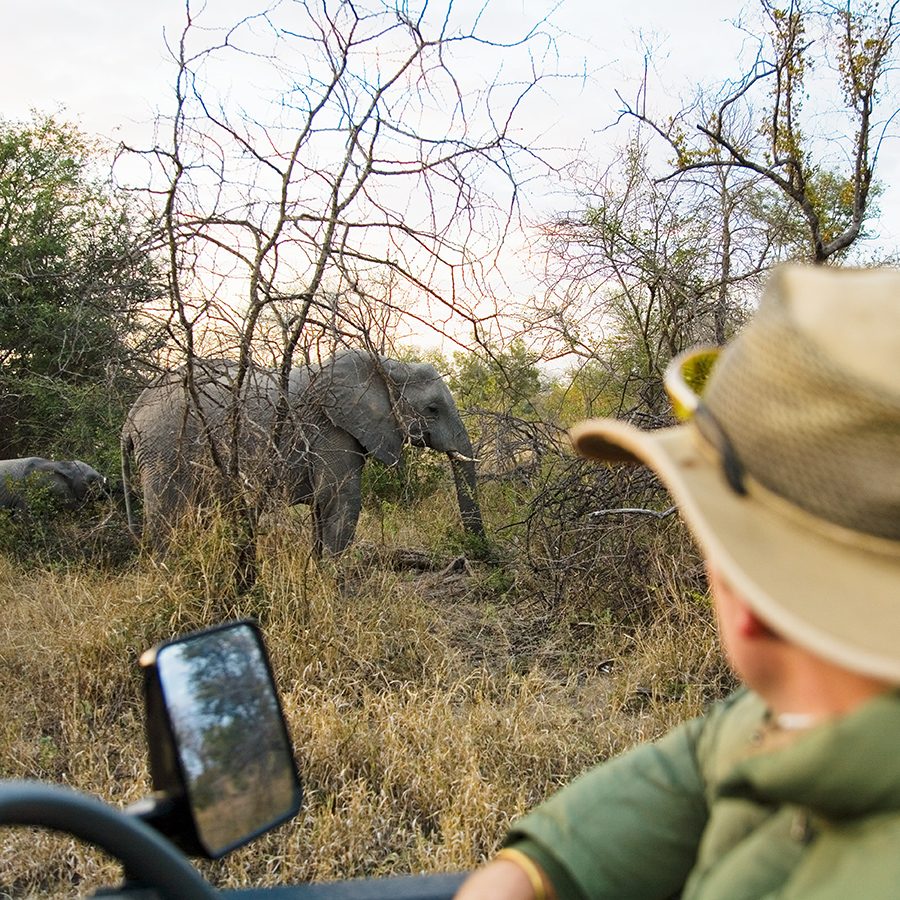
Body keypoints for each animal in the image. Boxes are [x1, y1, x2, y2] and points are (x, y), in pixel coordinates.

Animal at [121, 350, 486, 556]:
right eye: (433, 409)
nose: (476, 555)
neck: (386, 364)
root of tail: (131, 416)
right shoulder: (330, 426)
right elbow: (341, 500)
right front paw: (332, 584)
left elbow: (323, 508)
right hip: (165, 448)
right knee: (169, 518)